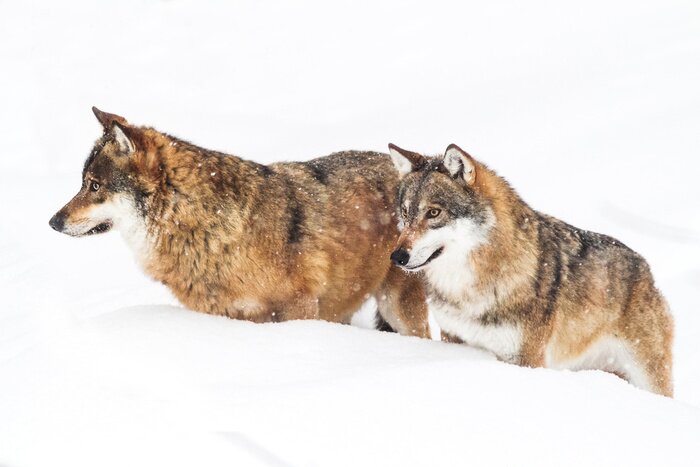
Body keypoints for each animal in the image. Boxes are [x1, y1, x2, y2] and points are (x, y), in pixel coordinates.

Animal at [387, 143, 673, 396]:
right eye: (405, 213)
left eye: (434, 213)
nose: (397, 256)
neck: (467, 287)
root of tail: (647, 270)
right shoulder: (454, 338)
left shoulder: (526, 358)